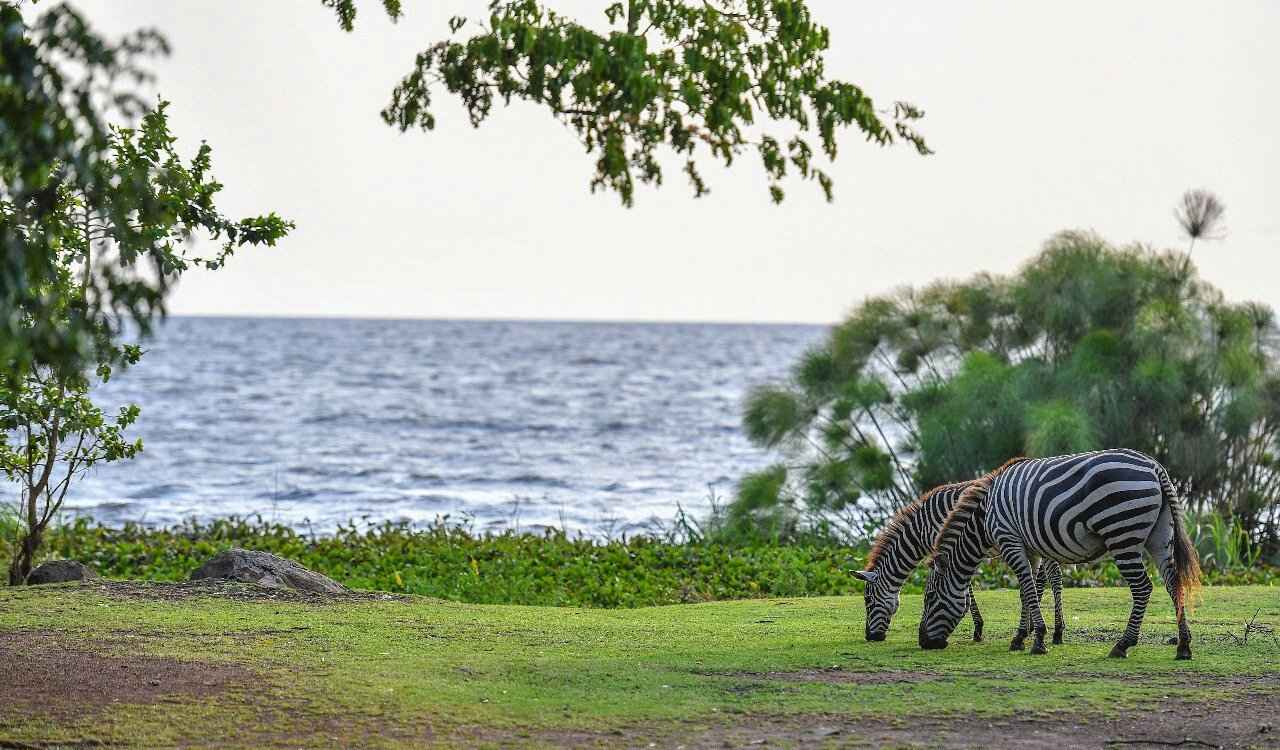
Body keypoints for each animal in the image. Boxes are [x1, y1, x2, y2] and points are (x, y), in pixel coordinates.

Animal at [855, 478, 1064, 642]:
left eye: (868, 601)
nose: (870, 637)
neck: (921, 529)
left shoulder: (948, 549)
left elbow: (963, 587)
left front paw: (977, 628)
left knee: (1054, 576)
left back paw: (1056, 631)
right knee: (1045, 576)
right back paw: (1039, 627)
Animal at [921, 447, 1198, 655]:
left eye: (930, 597)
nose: (923, 642)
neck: (984, 516)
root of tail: (1154, 467)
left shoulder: (1009, 539)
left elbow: (1028, 588)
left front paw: (1038, 640)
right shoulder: (1028, 549)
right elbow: (1027, 590)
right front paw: (1021, 637)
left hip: (1122, 533)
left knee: (1142, 587)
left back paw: (1123, 644)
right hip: (1159, 537)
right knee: (1174, 583)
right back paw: (1183, 646)